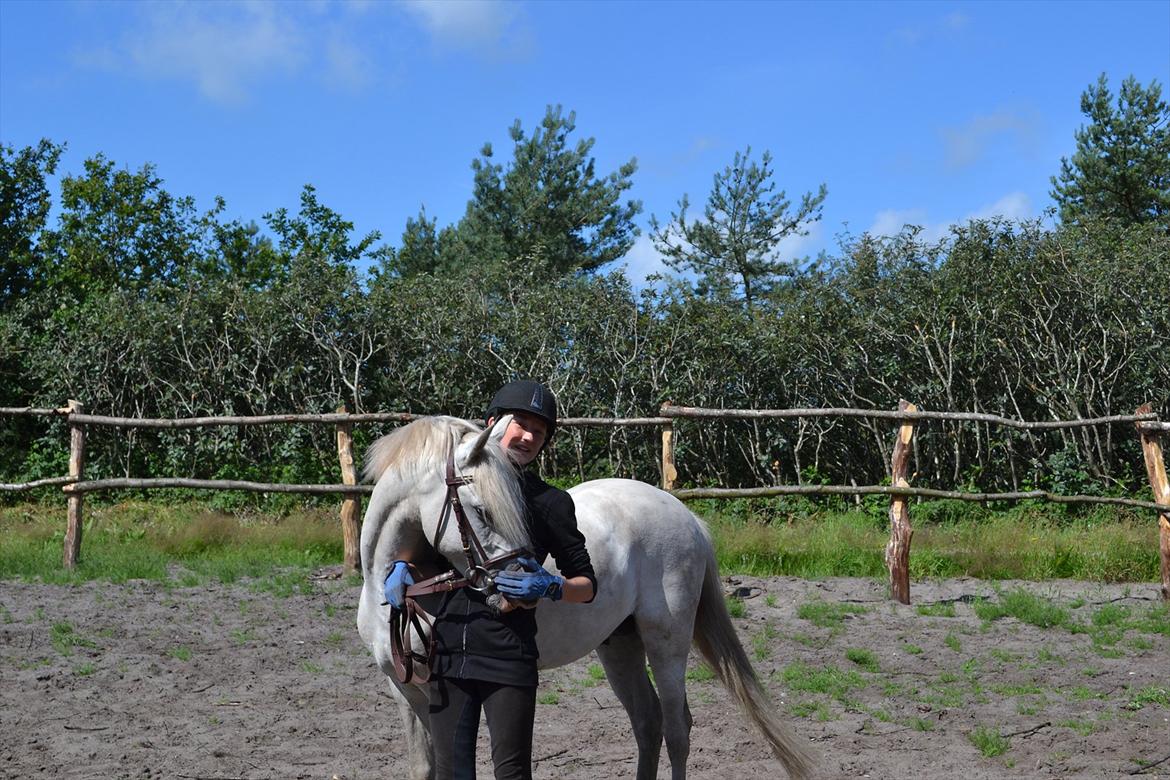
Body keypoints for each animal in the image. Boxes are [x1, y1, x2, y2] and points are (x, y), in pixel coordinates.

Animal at [356, 415, 815, 780]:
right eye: (482, 510)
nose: (515, 591)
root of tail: (685, 515)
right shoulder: (407, 690)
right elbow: (426, 767)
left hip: (666, 642)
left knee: (676, 728)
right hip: (619, 645)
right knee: (647, 722)